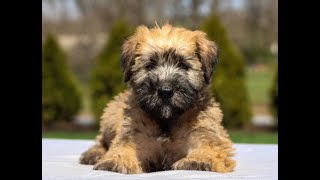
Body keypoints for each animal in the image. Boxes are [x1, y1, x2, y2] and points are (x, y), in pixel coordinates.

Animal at [79, 24, 235, 174]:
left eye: (184, 65)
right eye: (150, 65)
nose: (165, 91)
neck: (166, 121)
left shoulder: (205, 134)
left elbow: (209, 149)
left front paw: (198, 160)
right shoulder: (136, 134)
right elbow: (123, 147)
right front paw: (116, 161)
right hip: (110, 115)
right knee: (101, 140)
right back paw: (93, 154)